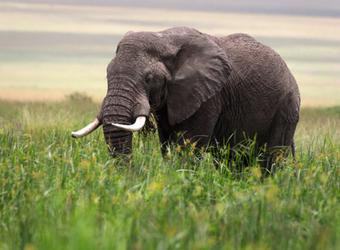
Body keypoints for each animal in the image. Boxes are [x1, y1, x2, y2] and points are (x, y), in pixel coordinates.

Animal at [71, 26, 300, 172]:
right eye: (107, 74)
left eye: (149, 79)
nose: (133, 173)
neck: (164, 38)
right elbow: (167, 145)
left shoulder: (207, 96)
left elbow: (188, 146)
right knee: (232, 160)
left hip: (286, 110)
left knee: (270, 159)